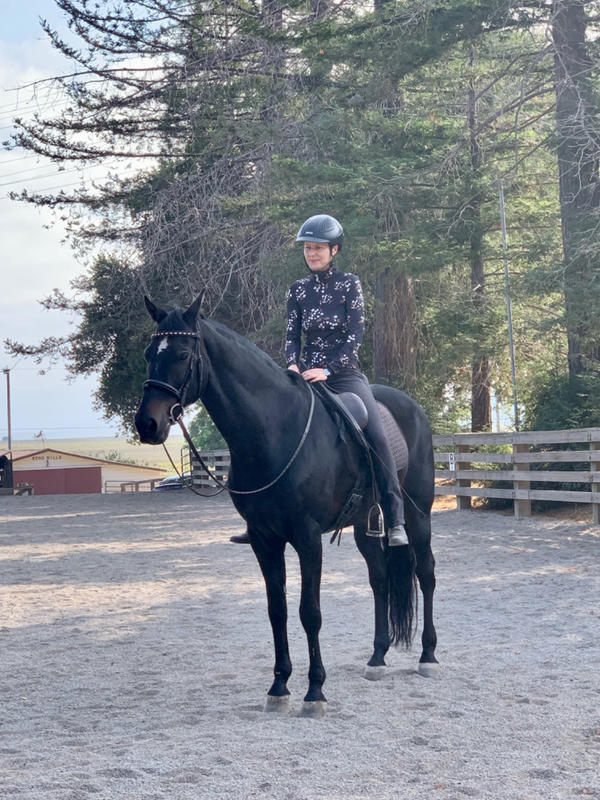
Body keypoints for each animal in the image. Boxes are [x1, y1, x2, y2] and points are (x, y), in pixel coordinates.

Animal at [135, 294, 436, 720]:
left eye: (181, 353)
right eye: (149, 354)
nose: (147, 423)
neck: (274, 431)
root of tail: (411, 407)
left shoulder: (307, 539)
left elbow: (310, 613)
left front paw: (315, 692)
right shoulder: (265, 540)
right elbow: (276, 610)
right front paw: (279, 686)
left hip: (419, 515)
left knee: (426, 573)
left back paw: (428, 656)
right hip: (365, 524)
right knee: (379, 579)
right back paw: (377, 658)